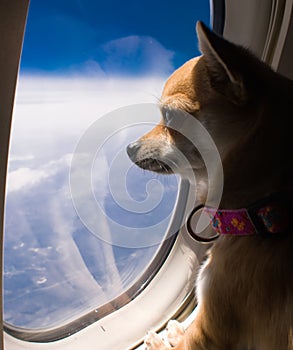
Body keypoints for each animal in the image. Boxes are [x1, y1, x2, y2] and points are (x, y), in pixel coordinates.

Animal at [126, 21, 292, 350]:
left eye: (169, 115)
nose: (129, 148)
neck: (264, 213)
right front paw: (173, 332)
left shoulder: (208, 332)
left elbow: (185, 341)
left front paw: (161, 340)